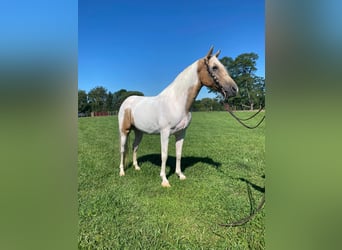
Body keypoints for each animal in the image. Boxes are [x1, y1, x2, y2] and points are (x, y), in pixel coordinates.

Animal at [117, 47, 238, 188]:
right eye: (214, 67)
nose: (234, 89)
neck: (177, 102)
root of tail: (127, 101)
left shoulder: (181, 133)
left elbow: (179, 153)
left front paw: (180, 175)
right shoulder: (165, 133)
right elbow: (164, 156)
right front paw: (164, 180)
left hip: (139, 132)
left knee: (135, 147)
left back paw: (136, 167)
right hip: (124, 131)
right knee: (122, 149)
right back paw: (122, 172)